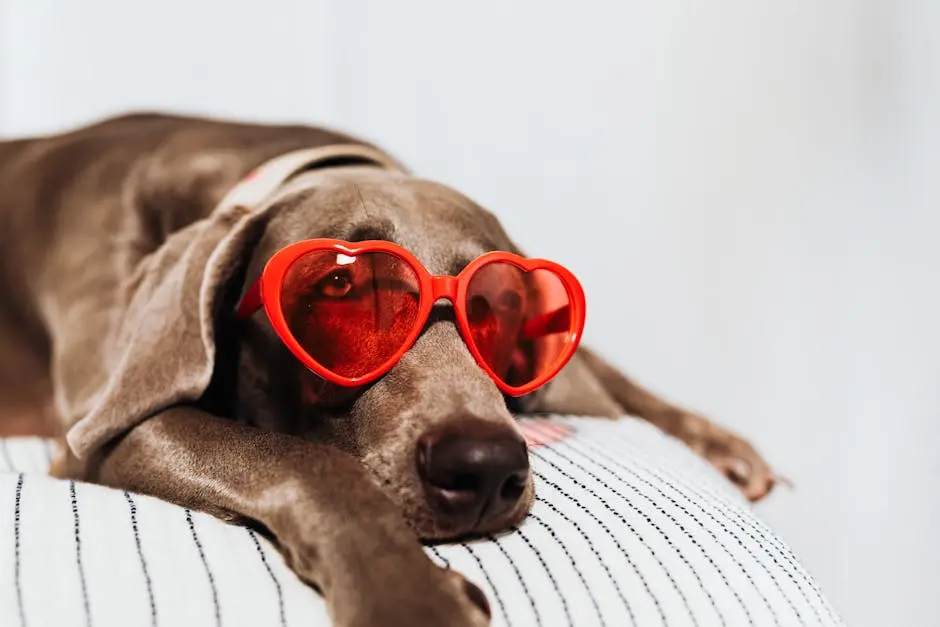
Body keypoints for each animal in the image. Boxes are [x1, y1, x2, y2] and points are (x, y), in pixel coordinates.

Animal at [0, 114, 776, 627]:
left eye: (504, 305)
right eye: (340, 287)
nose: (483, 468)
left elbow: (605, 370)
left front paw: (722, 445)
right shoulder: (95, 428)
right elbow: (303, 460)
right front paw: (409, 595)